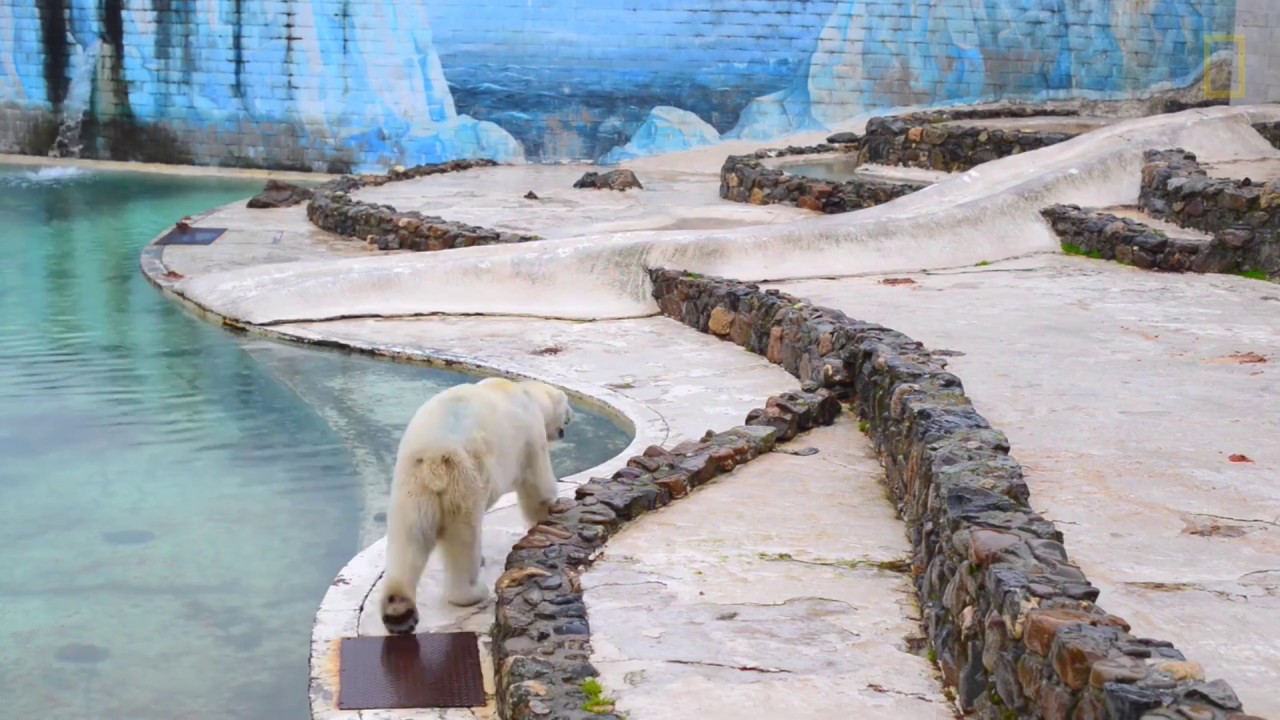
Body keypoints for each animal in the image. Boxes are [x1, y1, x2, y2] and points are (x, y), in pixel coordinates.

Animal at [379, 376, 573, 635]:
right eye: (566, 405)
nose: (570, 416)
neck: (524, 393)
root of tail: (433, 457)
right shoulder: (530, 438)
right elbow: (536, 485)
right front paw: (554, 509)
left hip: (411, 486)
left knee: (408, 539)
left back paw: (398, 612)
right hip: (464, 478)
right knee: (464, 539)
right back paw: (472, 591)